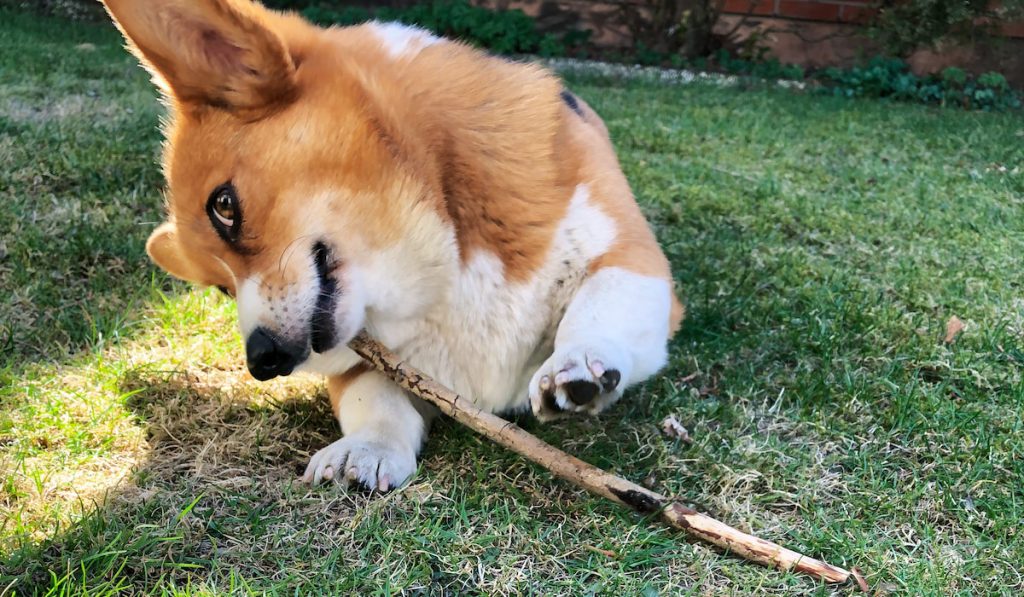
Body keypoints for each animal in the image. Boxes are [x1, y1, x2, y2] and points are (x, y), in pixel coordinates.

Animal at [103, 0, 684, 493]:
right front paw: (366, 449)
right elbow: (374, 401)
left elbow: (604, 301)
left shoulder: (632, 259)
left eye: (223, 206)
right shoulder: (364, 360)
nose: (262, 362)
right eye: (221, 288)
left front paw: (579, 362)